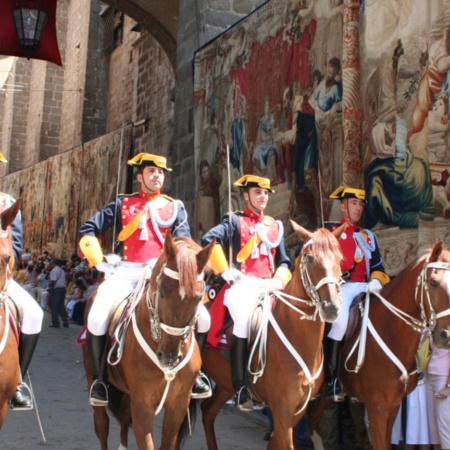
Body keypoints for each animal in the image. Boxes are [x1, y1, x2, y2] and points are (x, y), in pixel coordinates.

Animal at [201, 222, 344, 450]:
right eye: (310, 258)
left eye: (340, 259)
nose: (331, 307)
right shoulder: (282, 408)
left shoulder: (297, 409)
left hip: (224, 384)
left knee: (207, 411)